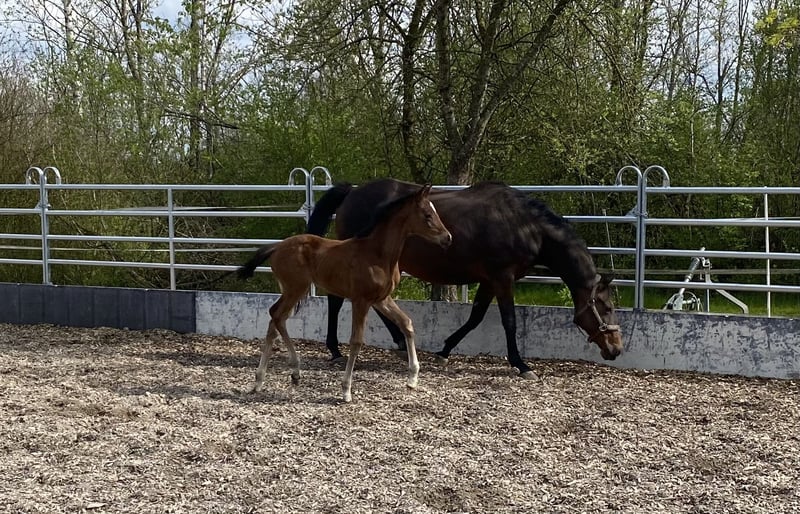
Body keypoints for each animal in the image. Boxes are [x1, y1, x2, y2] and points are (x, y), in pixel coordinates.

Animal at [238, 185, 452, 402]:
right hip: (295, 288)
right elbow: (356, 341)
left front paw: (413, 379)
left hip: (293, 290)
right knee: (277, 315)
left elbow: (406, 323)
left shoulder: (381, 299)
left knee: (276, 319)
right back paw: (280, 375)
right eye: (427, 215)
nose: (448, 238)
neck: (378, 255)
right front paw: (346, 390)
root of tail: (277, 246)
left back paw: (274, 378)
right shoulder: (361, 300)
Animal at [306, 179, 623, 379]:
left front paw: (444, 350)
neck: (524, 224)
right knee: (337, 300)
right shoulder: (503, 278)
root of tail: (352, 192)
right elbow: (509, 321)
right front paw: (521, 365)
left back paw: (397, 342)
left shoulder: (489, 280)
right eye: (606, 307)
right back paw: (335, 349)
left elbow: (475, 317)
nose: (616, 349)